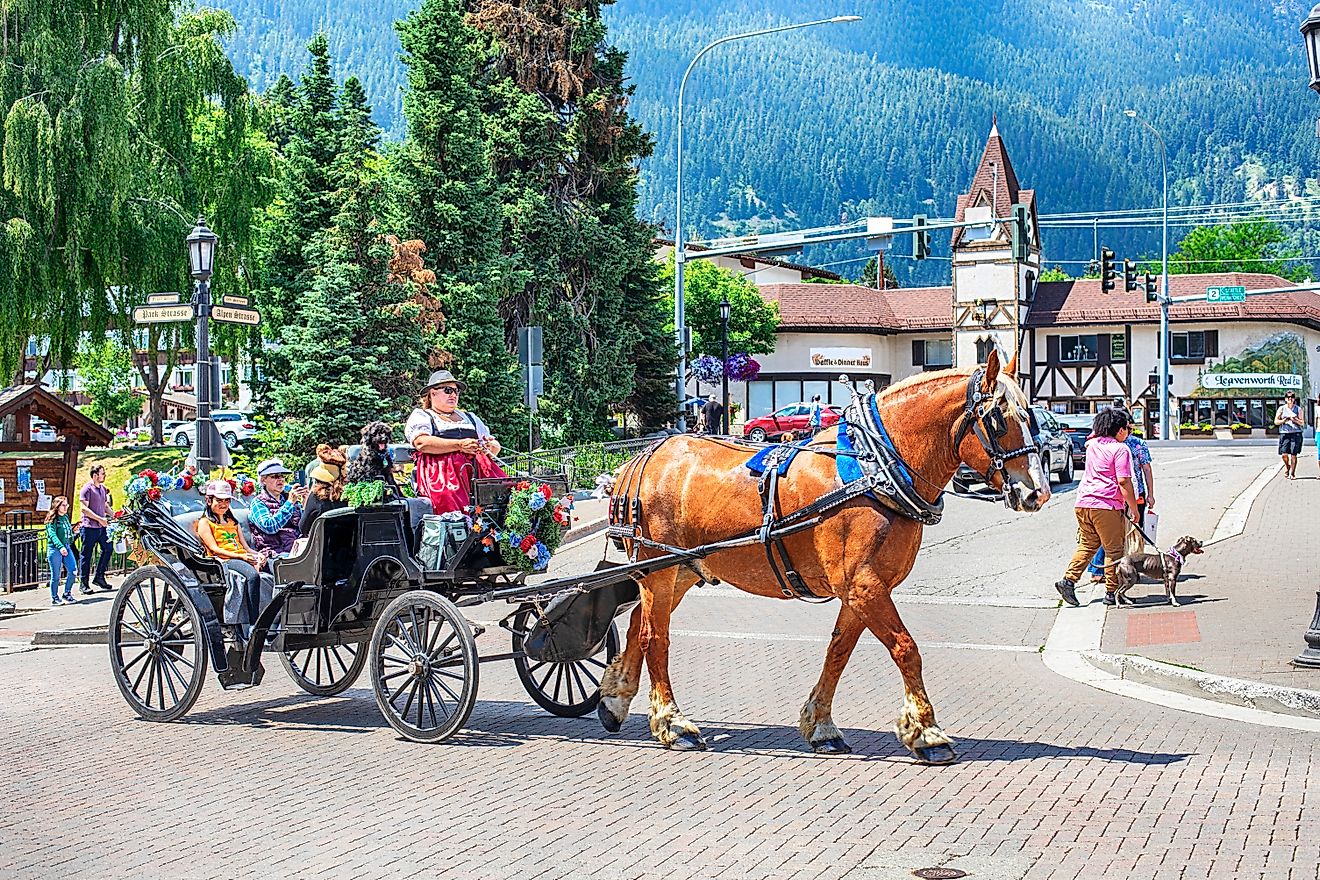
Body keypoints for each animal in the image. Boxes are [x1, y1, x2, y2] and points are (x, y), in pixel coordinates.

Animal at [601, 350, 1050, 765]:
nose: (1037, 492)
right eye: (998, 419)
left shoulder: (861, 589)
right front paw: (926, 732)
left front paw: (821, 726)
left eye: (1031, 415)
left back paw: (614, 700)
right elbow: (906, 648)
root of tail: (639, 460)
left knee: (639, 625)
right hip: (658, 570)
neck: (876, 470)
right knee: (655, 637)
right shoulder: (863, 585)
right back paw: (673, 723)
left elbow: (838, 652)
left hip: (679, 570)